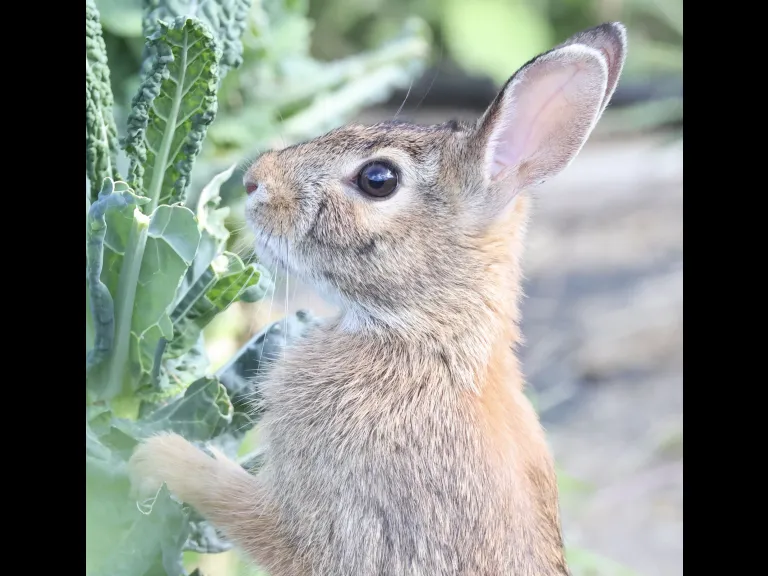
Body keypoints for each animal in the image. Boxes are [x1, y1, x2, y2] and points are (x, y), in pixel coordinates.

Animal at [129, 22, 627, 576]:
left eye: (377, 179)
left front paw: (158, 456)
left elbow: (241, 508)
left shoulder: (326, 526)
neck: (428, 337)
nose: (255, 181)